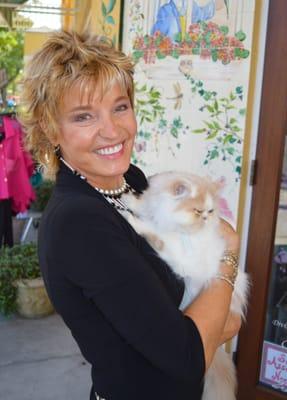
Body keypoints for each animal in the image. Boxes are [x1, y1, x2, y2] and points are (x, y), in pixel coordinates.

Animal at [121, 171, 250, 400]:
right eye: (198, 211)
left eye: (210, 211)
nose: (206, 218)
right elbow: (144, 205)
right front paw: (130, 201)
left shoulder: (179, 254)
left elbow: (155, 235)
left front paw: (133, 221)